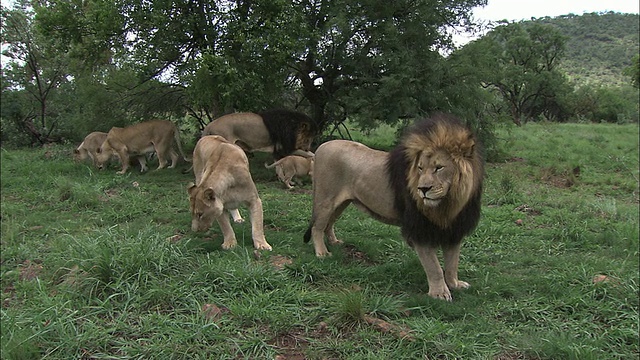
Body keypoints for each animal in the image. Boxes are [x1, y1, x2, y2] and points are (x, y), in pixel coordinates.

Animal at [302, 115, 482, 300]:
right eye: (420, 168)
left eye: (439, 168)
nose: (423, 189)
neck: (448, 204)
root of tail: (321, 147)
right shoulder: (418, 230)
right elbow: (435, 267)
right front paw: (439, 294)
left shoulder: (455, 229)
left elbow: (453, 263)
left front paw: (455, 284)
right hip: (326, 199)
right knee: (317, 227)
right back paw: (322, 253)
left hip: (341, 203)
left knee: (329, 224)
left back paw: (334, 242)